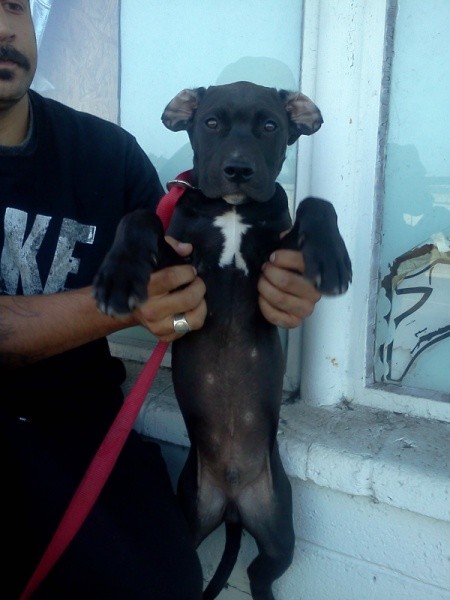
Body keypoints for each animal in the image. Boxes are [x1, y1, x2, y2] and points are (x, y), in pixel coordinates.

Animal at [94, 81, 352, 600]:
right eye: (211, 122)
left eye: (270, 126)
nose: (238, 169)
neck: (231, 208)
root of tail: (232, 502)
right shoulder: (178, 258)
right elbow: (138, 216)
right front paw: (118, 275)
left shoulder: (276, 255)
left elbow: (316, 203)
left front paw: (331, 256)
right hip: (191, 517)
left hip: (279, 526)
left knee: (258, 572)